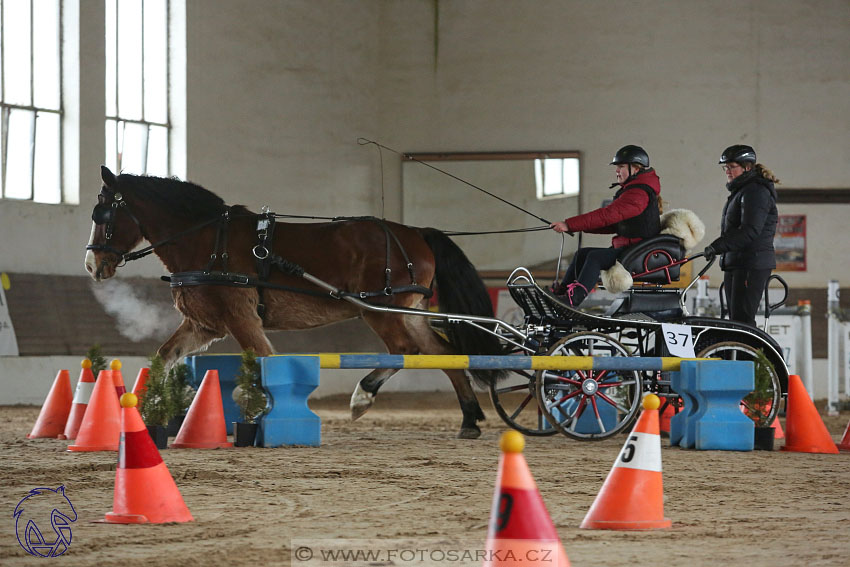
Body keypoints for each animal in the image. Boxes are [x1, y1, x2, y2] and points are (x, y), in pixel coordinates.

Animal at [84, 165, 504, 440]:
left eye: (104, 214)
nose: (92, 264)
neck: (207, 240)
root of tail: (416, 232)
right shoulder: (203, 324)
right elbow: (163, 357)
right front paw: (146, 413)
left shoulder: (240, 317)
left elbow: (265, 363)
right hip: (410, 310)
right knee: (444, 354)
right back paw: (469, 419)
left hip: (380, 310)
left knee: (404, 349)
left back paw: (362, 396)